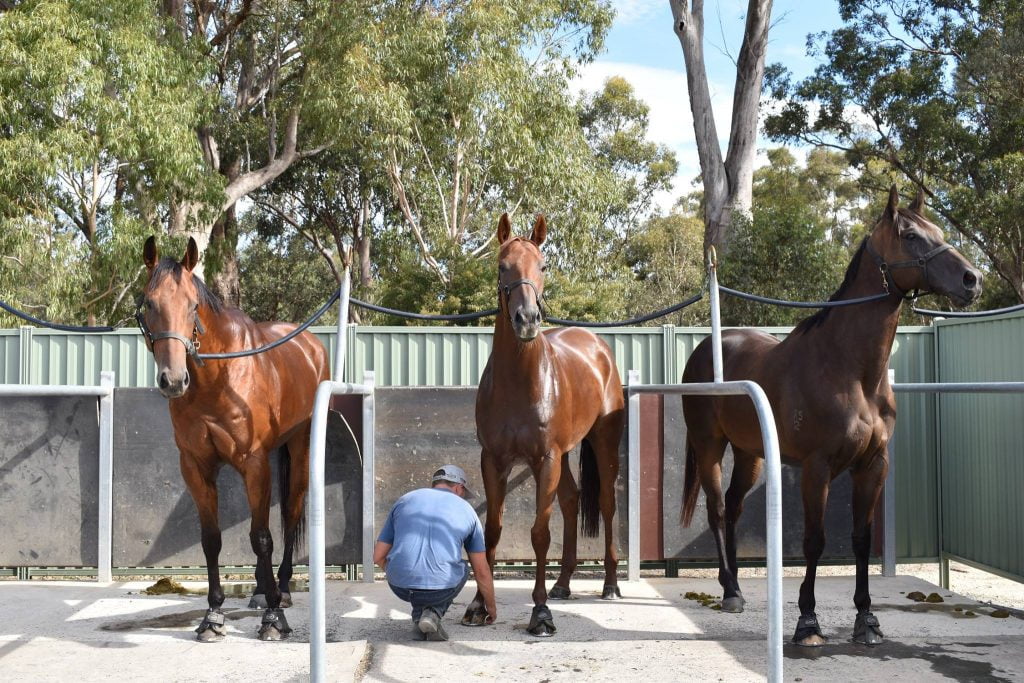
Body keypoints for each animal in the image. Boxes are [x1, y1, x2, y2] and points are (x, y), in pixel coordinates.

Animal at [139, 235, 327, 643]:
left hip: (300, 447)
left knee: (290, 516)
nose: (173, 380)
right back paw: (260, 590)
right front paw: (213, 616)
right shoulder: (195, 466)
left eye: (193, 305)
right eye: (149, 303)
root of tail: (310, 345)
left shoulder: (253, 463)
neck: (219, 379)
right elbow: (212, 539)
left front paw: (273, 619)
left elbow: (262, 538)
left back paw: (281, 590)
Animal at [462, 216, 622, 638]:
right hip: (563, 457)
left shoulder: (544, 460)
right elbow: (493, 529)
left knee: (606, 504)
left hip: (603, 444)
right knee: (570, 500)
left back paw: (610, 585)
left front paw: (540, 612)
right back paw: (563, 584)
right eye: (502, 266)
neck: (521, 381)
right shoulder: (494, 460)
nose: (528, 320)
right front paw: (479, 605)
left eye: (543, 265)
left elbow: (539, 533)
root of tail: (597, 346)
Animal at [684, 187, 978, 647]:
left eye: (940, 232)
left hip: (750, 454)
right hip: (709, 446)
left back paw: (735, 589)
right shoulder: (816, 467)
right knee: (715, 509)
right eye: (911, 235)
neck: (850, 369)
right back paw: (729, 591)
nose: (972, 280)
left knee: (732, 506)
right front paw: (807, 622)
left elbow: (860, 540)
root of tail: (704, 349)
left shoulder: (873, 465)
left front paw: (867, 620)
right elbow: (814, 541)